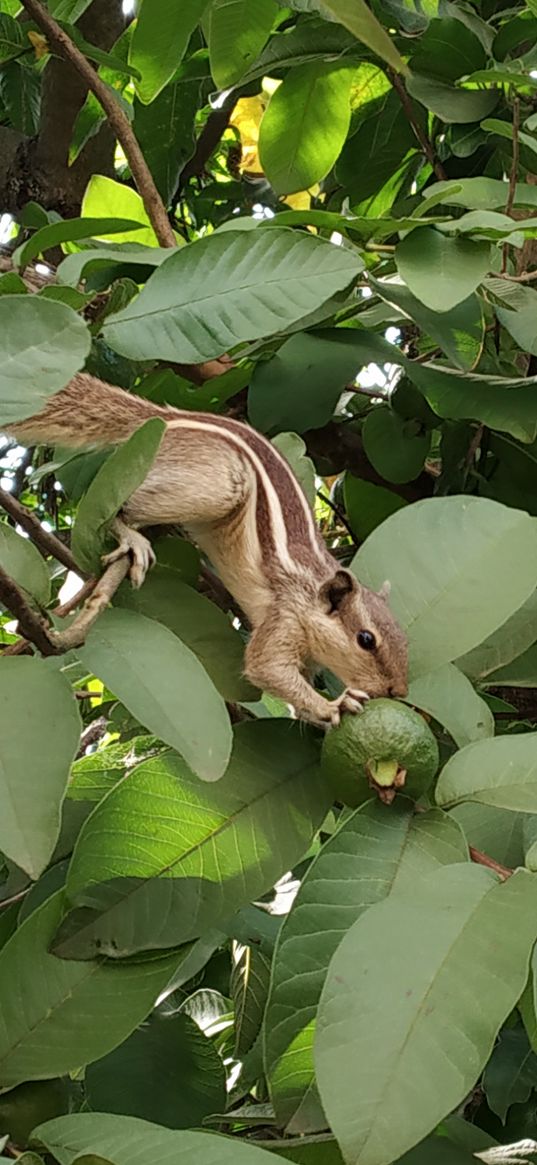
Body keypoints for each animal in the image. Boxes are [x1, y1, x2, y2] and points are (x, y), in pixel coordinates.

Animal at [4, 372, 407, 722]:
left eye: (404, 639)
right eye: (366, 640)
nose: (398, 692)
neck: (311, 585)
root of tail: (170, 416)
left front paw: (313, 712)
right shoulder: (285, 615)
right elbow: (265, 667)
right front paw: (333, 705)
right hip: (215, 483)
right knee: (122, 508)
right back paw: (132, 537)